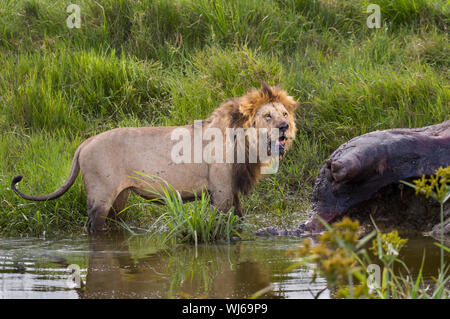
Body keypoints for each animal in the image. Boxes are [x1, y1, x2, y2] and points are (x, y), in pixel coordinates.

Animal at [11, 82, 298, 232]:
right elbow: (223, 223)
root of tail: (85, 143)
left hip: (120, 197)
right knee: (93, 228)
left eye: (284, 114)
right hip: (100, 197)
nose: (284, 127)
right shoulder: (221, 190)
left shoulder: (233, 190)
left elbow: (239, 220)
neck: (247, 143)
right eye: (268, 116)